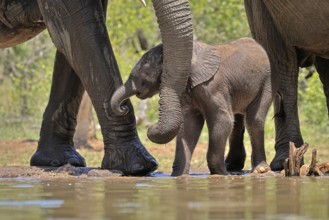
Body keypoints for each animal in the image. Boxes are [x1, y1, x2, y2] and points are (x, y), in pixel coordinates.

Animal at [111, 37, 270, 175]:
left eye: (144, 75)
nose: (123, 108)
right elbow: (189, 125)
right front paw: (179, 176)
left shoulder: (213, 86)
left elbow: (222, 119)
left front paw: (222, 174)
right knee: (238, 121)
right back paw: (232, 167)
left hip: (266, 80)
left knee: (254, 120)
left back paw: (259, 170)